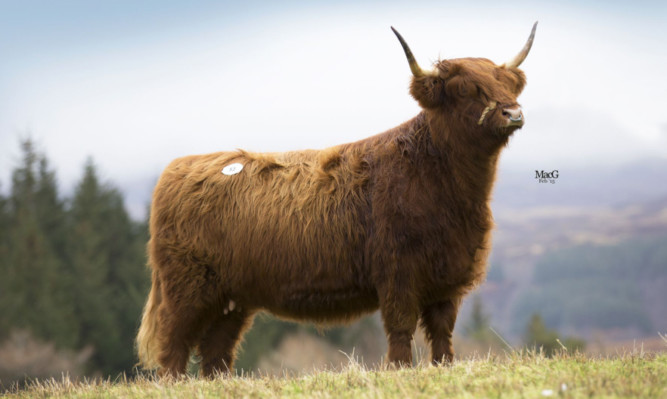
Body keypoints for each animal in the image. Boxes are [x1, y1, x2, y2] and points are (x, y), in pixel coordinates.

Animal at [136, 22, 536, 378]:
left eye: (505, 83)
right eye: (467, 90)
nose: (514, 113)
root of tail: (178, 168)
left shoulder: (447, 276)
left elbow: (442, 332)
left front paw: (443, 368)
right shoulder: (398, 273)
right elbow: (401, 328)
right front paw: (400, 369)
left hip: (232, 299)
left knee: (216, 350)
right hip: (186, 289)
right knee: (173, 344)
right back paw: (174, 382)